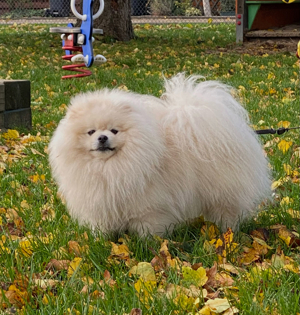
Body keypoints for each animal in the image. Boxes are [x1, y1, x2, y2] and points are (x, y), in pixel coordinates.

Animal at [48, 74, 270, 236]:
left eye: (114, 131)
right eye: (91, 132)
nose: (102, 138)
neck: (110, 168)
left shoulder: (149, 207)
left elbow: (148, 229)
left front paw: (148, 245)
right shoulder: (101, 204)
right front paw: (101, 240)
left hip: (224, 191)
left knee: (228, 212)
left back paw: (227, 233)